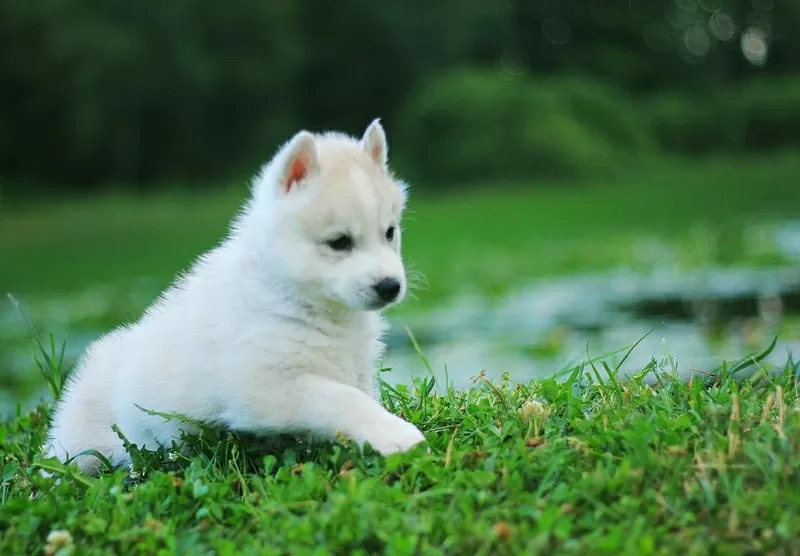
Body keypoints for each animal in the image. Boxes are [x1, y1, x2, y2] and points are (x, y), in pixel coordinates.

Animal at [45, 118, 424, 474]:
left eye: (390, 232)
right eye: (339, 242)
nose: (391, 286)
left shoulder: (357, 368)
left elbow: (361, 395)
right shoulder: (262, 387)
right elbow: (338, 397)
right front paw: (396, 434)